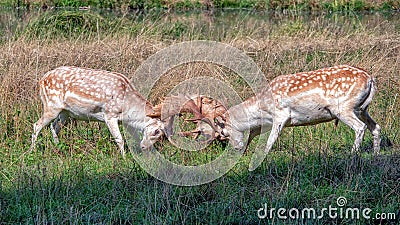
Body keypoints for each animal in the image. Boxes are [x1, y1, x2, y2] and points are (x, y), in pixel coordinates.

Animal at [29, 65, 164, 156]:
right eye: (156, 131)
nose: (144, 147)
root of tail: (41, 80)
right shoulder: (109, 115)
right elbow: (120, 139)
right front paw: (124, 158)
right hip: (51, 106)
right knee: (37, 125)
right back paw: (33, 151)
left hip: (64, 112)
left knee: (54, 126)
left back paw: (58, 147)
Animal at [220, 65, 380, 156]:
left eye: (223, 133)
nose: (235, 149)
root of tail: (370, 79)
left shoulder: (280, 115)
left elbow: (270, 141)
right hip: (362, 109)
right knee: (375, 127)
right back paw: (376, 154)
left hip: (343, 108)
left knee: (360, 127)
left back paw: (352, 155)